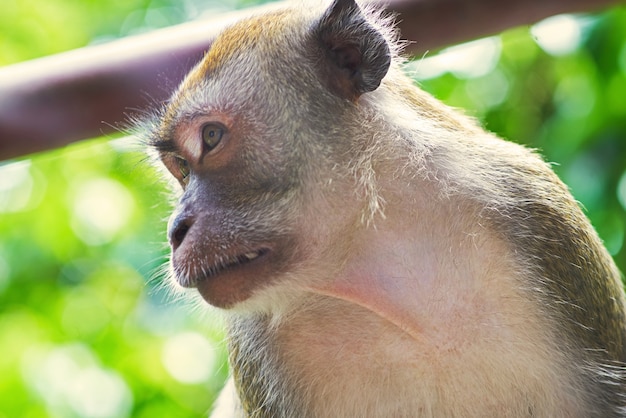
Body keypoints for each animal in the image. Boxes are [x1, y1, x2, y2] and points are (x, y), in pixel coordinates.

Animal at [141, 0, 624, 414]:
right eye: (180, 167)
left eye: (211, 138)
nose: (176, 230)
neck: (382, 261)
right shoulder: (253, 340)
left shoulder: (542, 217)